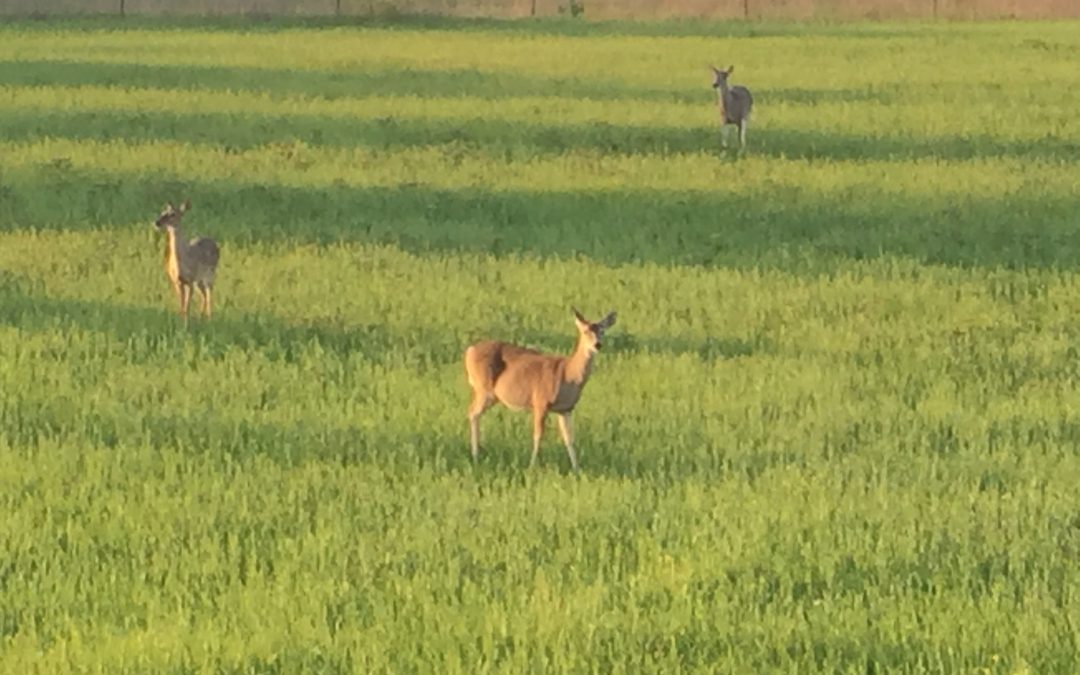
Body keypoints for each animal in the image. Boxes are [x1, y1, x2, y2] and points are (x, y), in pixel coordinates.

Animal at [462, 308, 617, 470]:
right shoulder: (540, 401)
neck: (568, 375)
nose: (597, 345)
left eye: (602, 331)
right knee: (472, 412)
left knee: (474, 413)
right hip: (483, 389)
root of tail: (470, 350)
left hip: (491, 395)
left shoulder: (566, 408)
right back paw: (475, 455)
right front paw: (532, 466)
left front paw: (576, 468)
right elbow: (538, 435)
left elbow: (569, 438)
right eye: (585, 331)